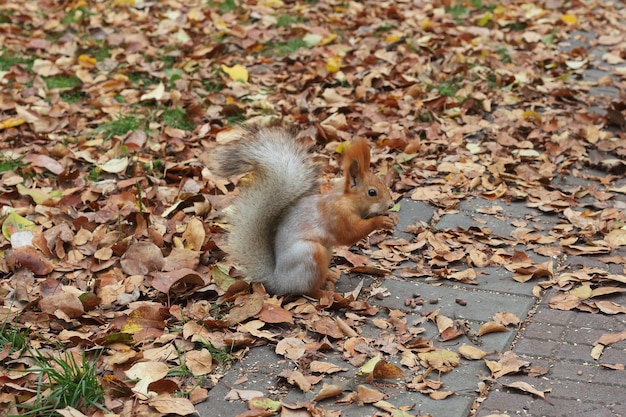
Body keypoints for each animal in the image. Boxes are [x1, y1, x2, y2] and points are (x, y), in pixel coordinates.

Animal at [212, 127, 392, 296]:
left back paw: (330, 275)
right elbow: (350, 234)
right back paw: (324, 293)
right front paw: (380, 221)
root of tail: (279, 281)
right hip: (310, 255)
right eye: (372, 192)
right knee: (308, 290)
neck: (346, 200)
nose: (390, 204)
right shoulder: (337, 216)